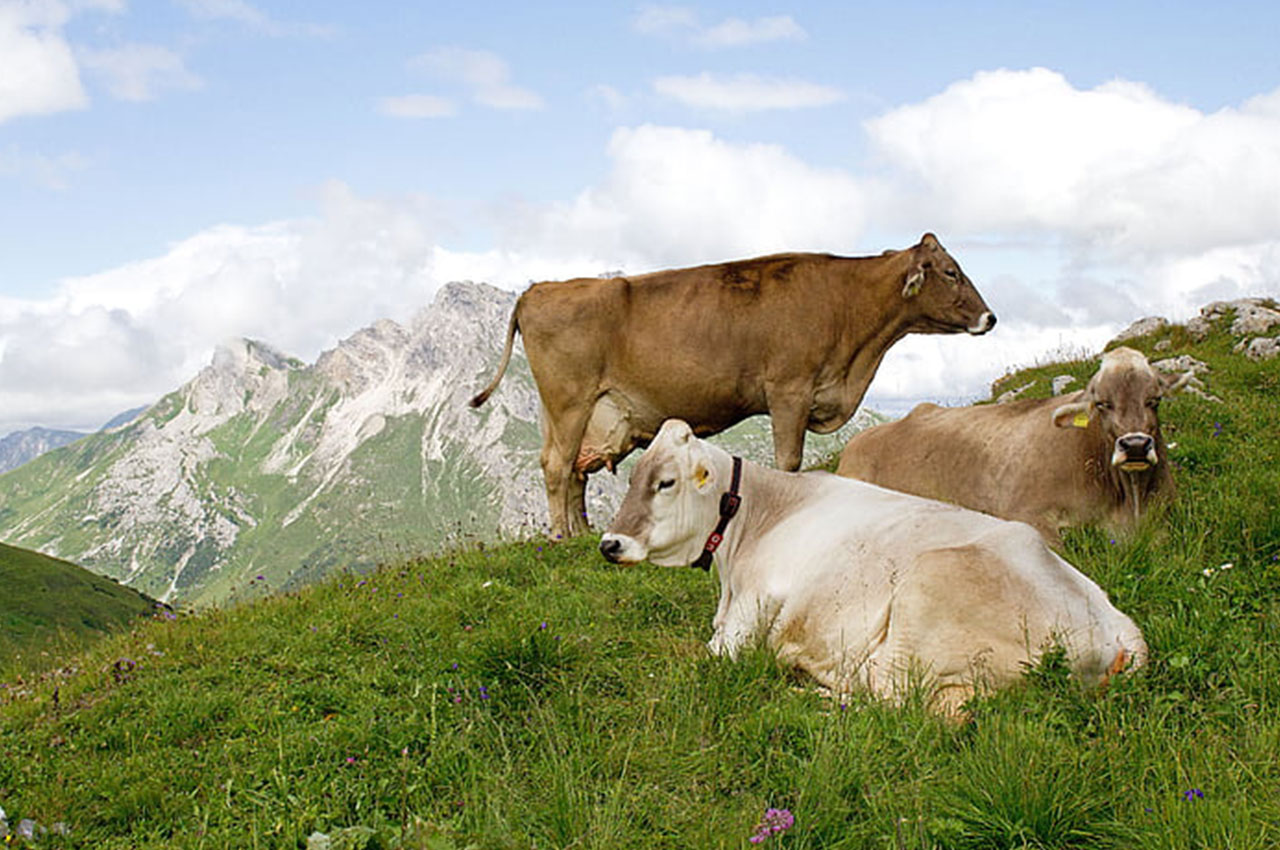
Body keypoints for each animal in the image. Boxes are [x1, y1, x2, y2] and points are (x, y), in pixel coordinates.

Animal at [473, 232, 998, 537]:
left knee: (573, 470)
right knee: (558, 466)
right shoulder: (789, 390)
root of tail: (539, 288)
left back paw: (580, 536)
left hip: (570, 411)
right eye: (951, 272)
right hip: (570, 399)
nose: (990, 317)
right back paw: (560, 537)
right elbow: (790, 461)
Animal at [601, 417, 1152, 711]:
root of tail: (1120, 636)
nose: (610, 543)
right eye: (630, 476)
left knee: (901, 706)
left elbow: (691, 658)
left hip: (920, 608)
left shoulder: (750, 612)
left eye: (665, 482)